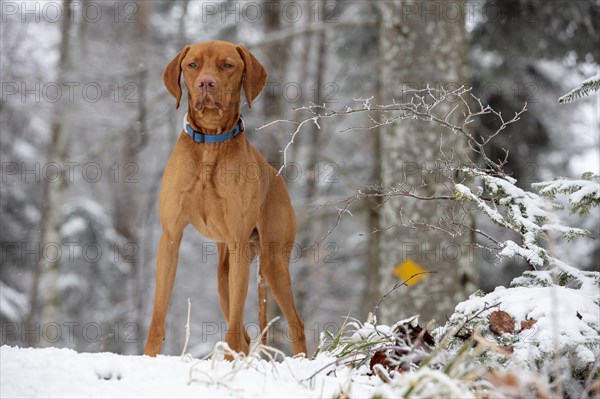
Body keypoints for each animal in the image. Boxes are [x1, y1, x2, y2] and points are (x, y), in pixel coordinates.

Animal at [144, 42, 308, 358]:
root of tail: (276, 176)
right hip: (223, 276)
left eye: (227, 65)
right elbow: (158, 313)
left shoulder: (237, 242)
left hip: (272, 262)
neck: (210, 144)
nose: (207, 83)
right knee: (245, 334)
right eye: (193, 65)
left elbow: (233, 328)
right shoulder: (170, 237)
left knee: (295, 325)